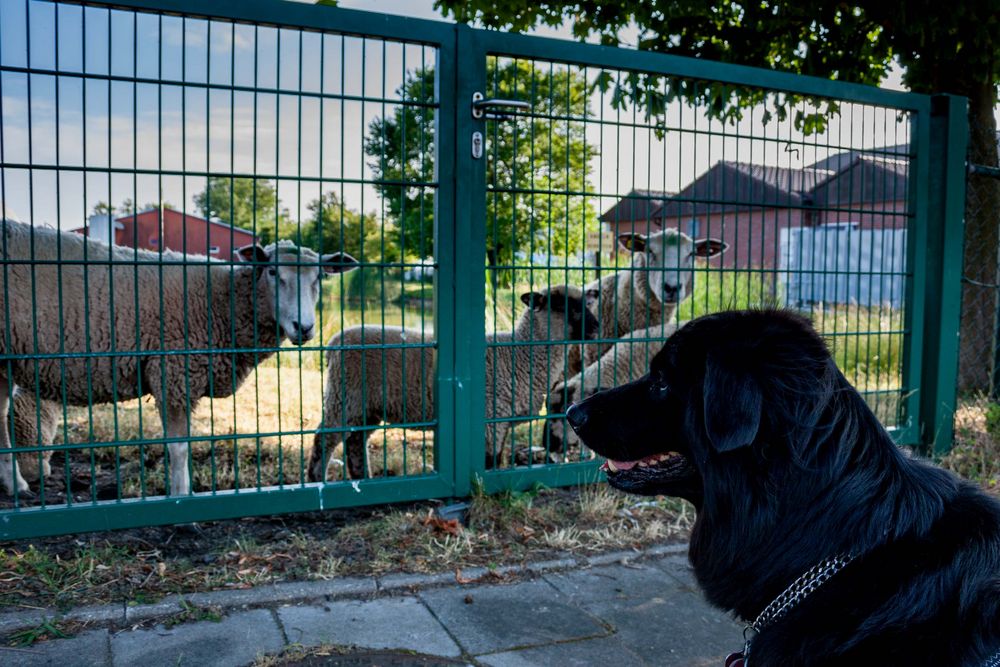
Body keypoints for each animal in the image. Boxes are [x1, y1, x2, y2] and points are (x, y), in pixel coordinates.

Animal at [0, 222, 360, 498]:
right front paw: (181, 498)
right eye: (271, 271)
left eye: (319, 279)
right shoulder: (173, 372)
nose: (305, 327)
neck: (220, 301)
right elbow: (179, 448)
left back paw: (15, 484)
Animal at [308, 284, 596, 482]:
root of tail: (334, 342)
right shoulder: (491, 417)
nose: (595, 329)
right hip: (345, 396)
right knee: (325, 439)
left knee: (355, 442)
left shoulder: (500, 420)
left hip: (367, 407)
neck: (521, 354)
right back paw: (315, 480)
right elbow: (490, 461)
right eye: (567, 307)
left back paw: (362, 478)